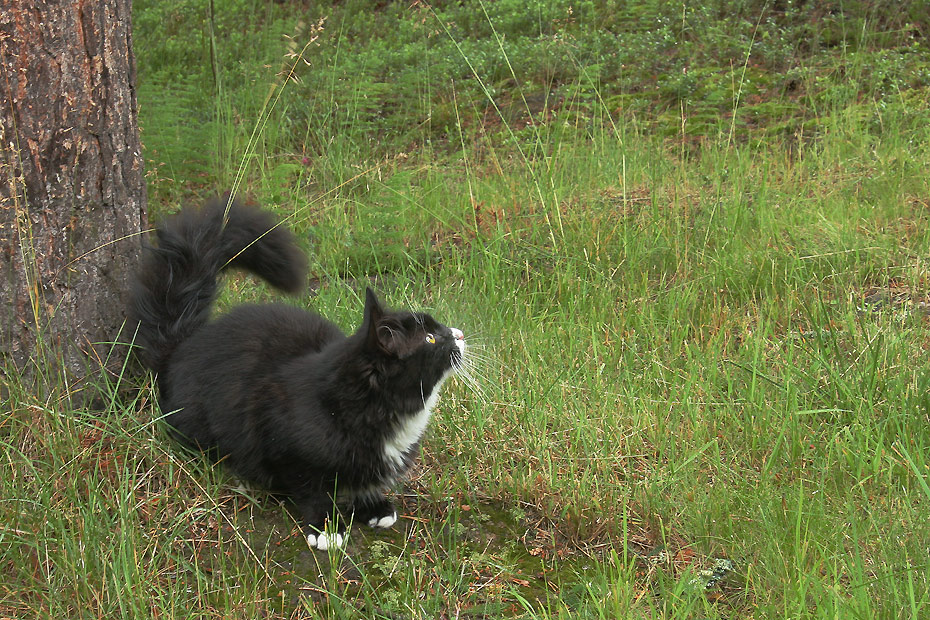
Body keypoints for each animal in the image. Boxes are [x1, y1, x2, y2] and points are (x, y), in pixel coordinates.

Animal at [130, 197, 464, 548]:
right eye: (431, 338)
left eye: (438, 329)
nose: (458, 334)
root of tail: (182, 344)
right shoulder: (284, 445)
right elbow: (311, 488)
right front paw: (326, 528)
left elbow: (361, 482)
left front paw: (373, 506)